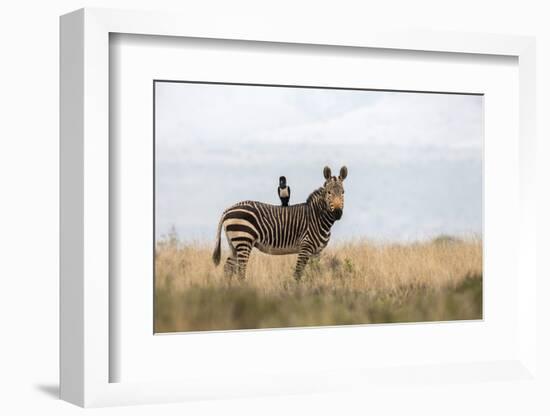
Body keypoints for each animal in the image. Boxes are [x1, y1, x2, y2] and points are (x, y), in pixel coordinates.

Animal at [213, 166, 348, 280]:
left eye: (343, 192)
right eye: (329, 192)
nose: (337, 213)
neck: (317, 217)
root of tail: (227, 210)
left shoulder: (317, 251)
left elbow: (315, 272)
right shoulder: (305, 247)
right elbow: (298, 273)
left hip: (234, 244)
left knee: (227, 268)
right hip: (243, 240)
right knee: (240, 271)